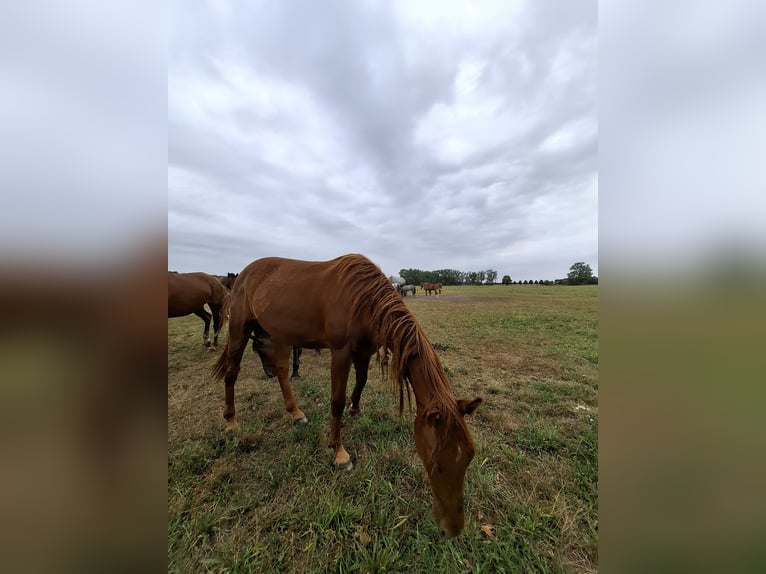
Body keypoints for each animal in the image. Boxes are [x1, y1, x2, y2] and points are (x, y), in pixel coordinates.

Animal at [213, 254, 481, 537]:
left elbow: (361, 382)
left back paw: (296, 413)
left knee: (283, 373)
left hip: (280, 334)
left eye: (469, 458)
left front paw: (355, 408)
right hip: (240, 328)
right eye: (436, 462)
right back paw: (230, 422)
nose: (453, 528)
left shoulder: (364, 350)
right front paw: (340, 453)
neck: (365, 300)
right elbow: (336, 401)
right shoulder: (341, 352)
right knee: (232, 373)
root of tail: (244, 274)